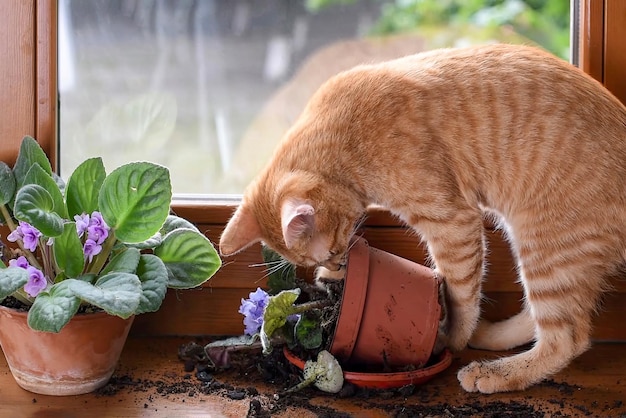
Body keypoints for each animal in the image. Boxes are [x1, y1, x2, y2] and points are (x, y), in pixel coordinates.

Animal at [218, 44, 624, 394]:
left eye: (331, 249)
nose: (336, 263)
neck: (346, 139)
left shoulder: (453, 223)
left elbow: (460, 294)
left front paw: (451, 337)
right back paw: (490, 337)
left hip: (546, 247)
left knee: (566, 337)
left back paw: (495, 372)